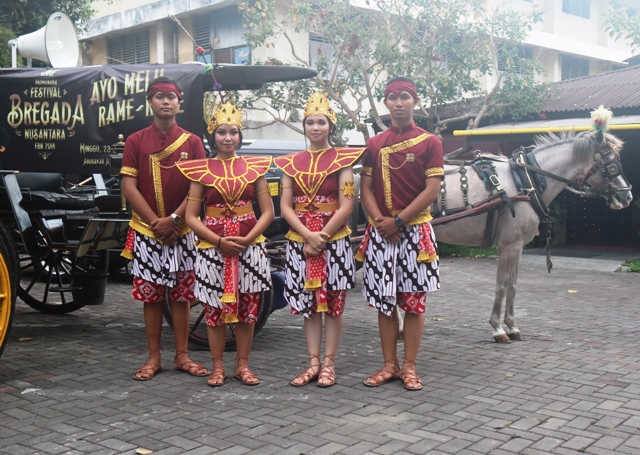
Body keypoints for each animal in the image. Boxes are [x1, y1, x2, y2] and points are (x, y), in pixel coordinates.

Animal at [430, 130, 632, 344]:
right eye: (611, 164)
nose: (627, 197)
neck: (525, 181)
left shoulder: (518, 247)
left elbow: (513, 286)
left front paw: (512, 326)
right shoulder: (509, 245)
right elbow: (501, 285)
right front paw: (497, 328)